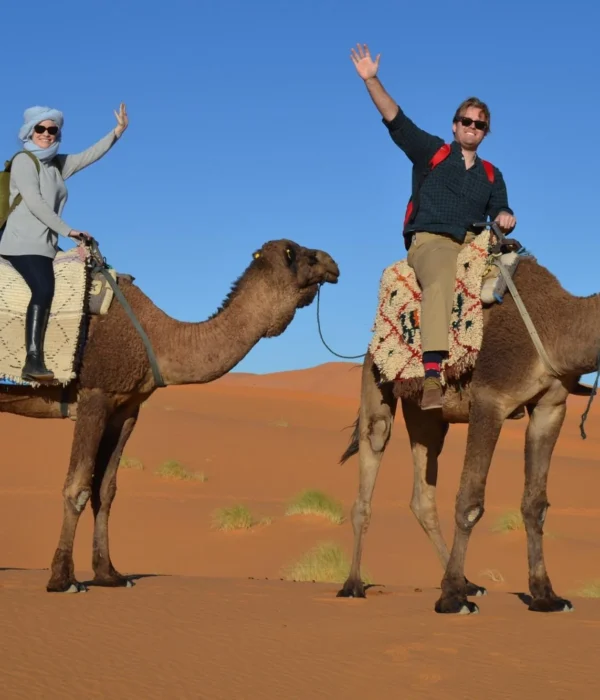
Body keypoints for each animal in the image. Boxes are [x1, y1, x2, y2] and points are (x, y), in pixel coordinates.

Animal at [0, 239, 339, 593]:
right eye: (300, 254)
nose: (333, 263)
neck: (156, 336)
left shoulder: (125, 409)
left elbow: (105, 492)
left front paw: (110, 574)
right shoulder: (95, 394)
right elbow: (77, 486)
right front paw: (63, 579)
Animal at [337, 251, 597, 614]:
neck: (556, 327)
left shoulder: (551, 406)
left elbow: (536, 505)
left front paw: (546, 596)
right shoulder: (490, 399)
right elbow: (470, 502)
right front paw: (451, 599)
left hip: (426, 414)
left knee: (423, 495)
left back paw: (468, 582)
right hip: (376, 381)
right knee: (374, 445)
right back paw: (353, 585)